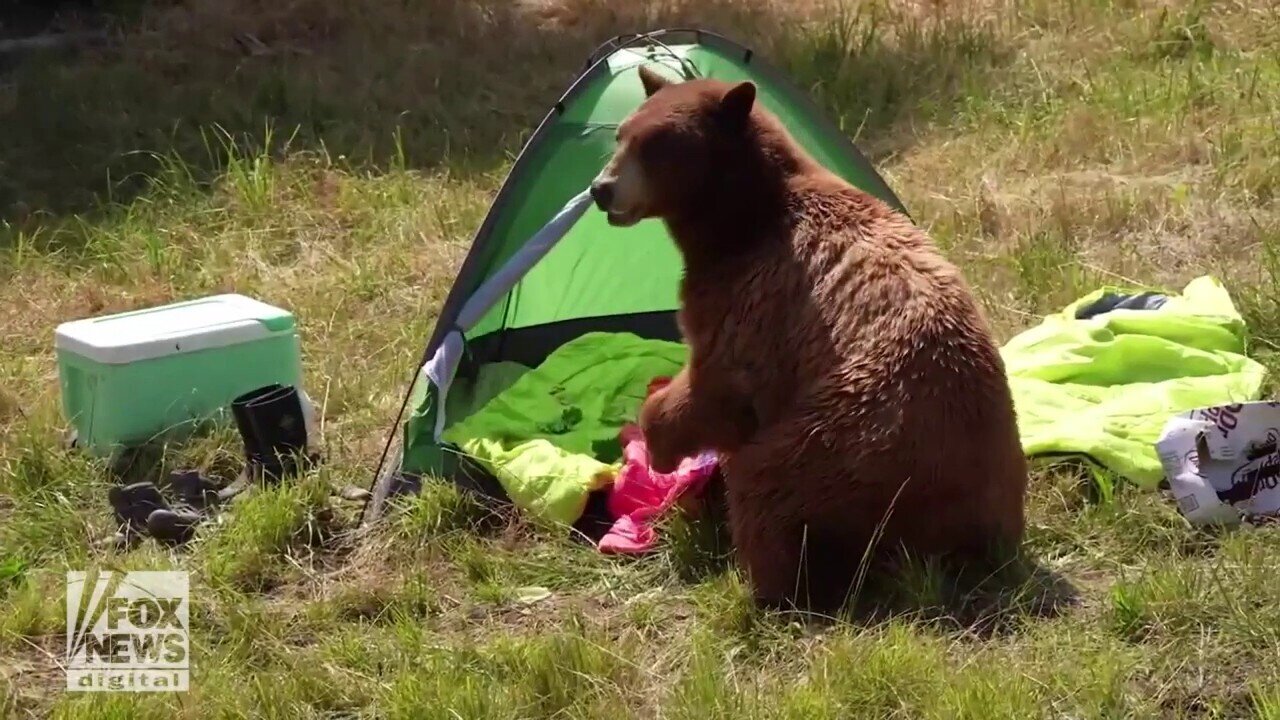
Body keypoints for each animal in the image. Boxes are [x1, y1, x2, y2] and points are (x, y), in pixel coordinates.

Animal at [591, 65, 1029, 609]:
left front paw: (658, 438)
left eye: (656, 145)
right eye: (621, 134)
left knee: (764, 490)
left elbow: (717, 388)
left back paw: (765, 584)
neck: (737, 223)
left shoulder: (753, 300)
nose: (601, 189)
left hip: (841, 447)